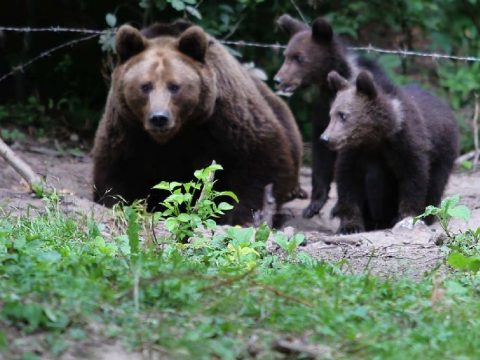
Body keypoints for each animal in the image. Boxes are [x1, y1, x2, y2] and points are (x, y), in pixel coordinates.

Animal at [92, 21, 302, 224]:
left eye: (174, 86)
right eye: (145, 86)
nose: (159, 117)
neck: (178, 132)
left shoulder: (223, 119)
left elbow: (261, 158)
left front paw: (244, 215)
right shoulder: (128, 127)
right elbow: (116, 170)